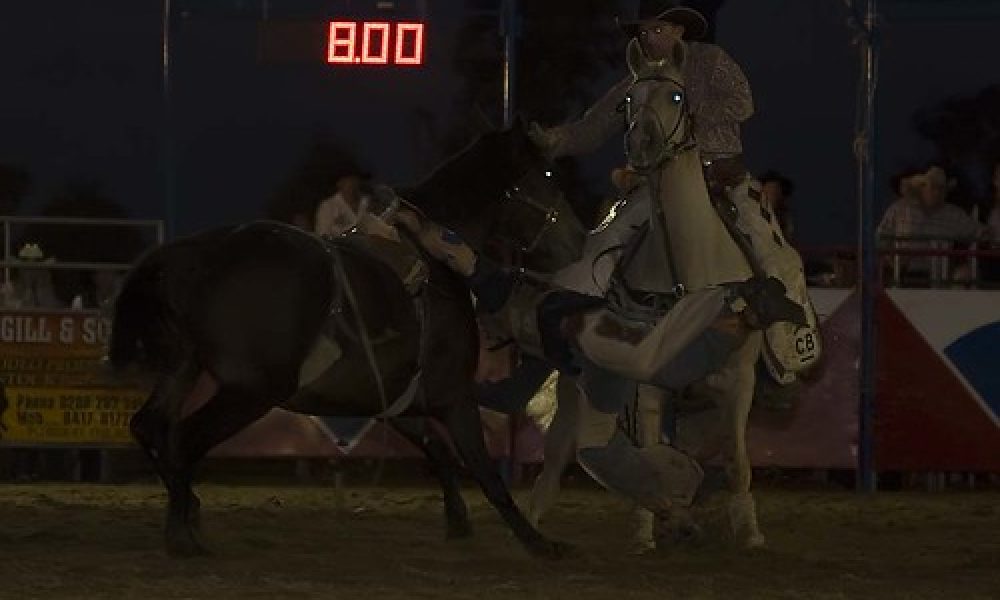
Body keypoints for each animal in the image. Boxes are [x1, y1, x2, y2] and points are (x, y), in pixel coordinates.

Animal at [528, 38, 760, 548]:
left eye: (676, 96)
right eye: (627, 101)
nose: (641, 145)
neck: (688, 272)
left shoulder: (738, 378)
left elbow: (737, 462)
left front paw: (749, 534)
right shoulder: (650, 384)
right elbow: (650, 452)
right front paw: (645, 532)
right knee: (557, 454)